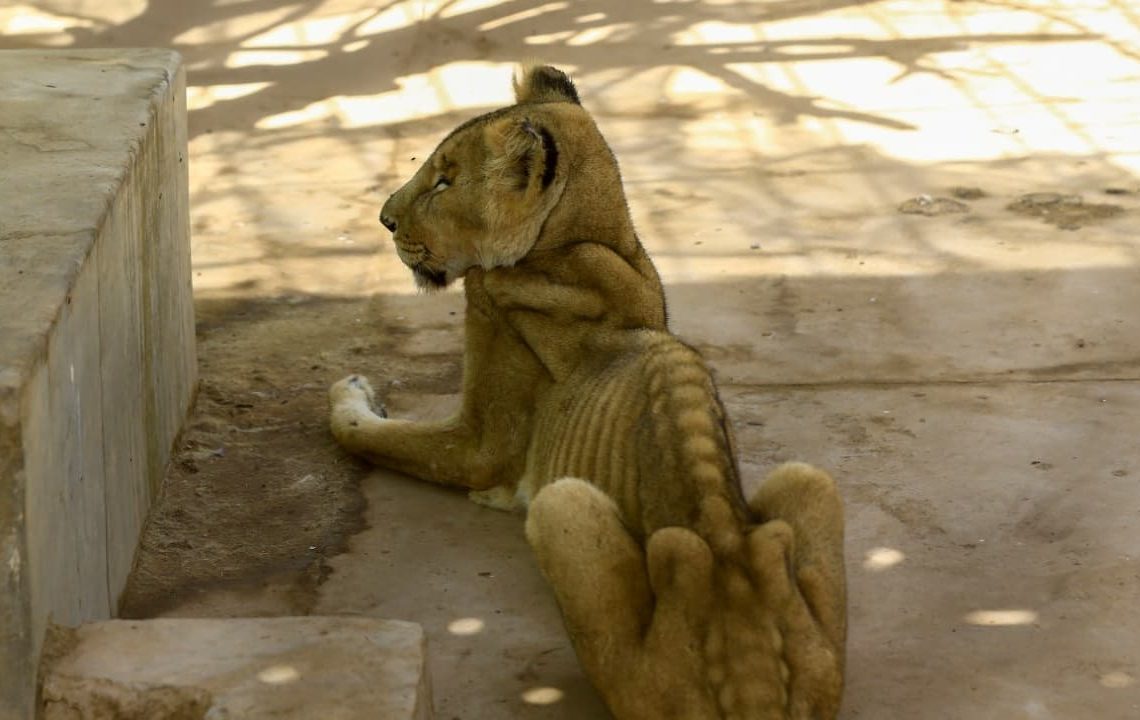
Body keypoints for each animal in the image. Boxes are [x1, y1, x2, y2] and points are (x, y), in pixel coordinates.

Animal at [329, 65, 847, 719]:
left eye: (444, 181)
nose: (384, 220)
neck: (587, 244)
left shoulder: (479, 443)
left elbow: (367, 433)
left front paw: (350, 390)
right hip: (811, 486)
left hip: (562, 507)